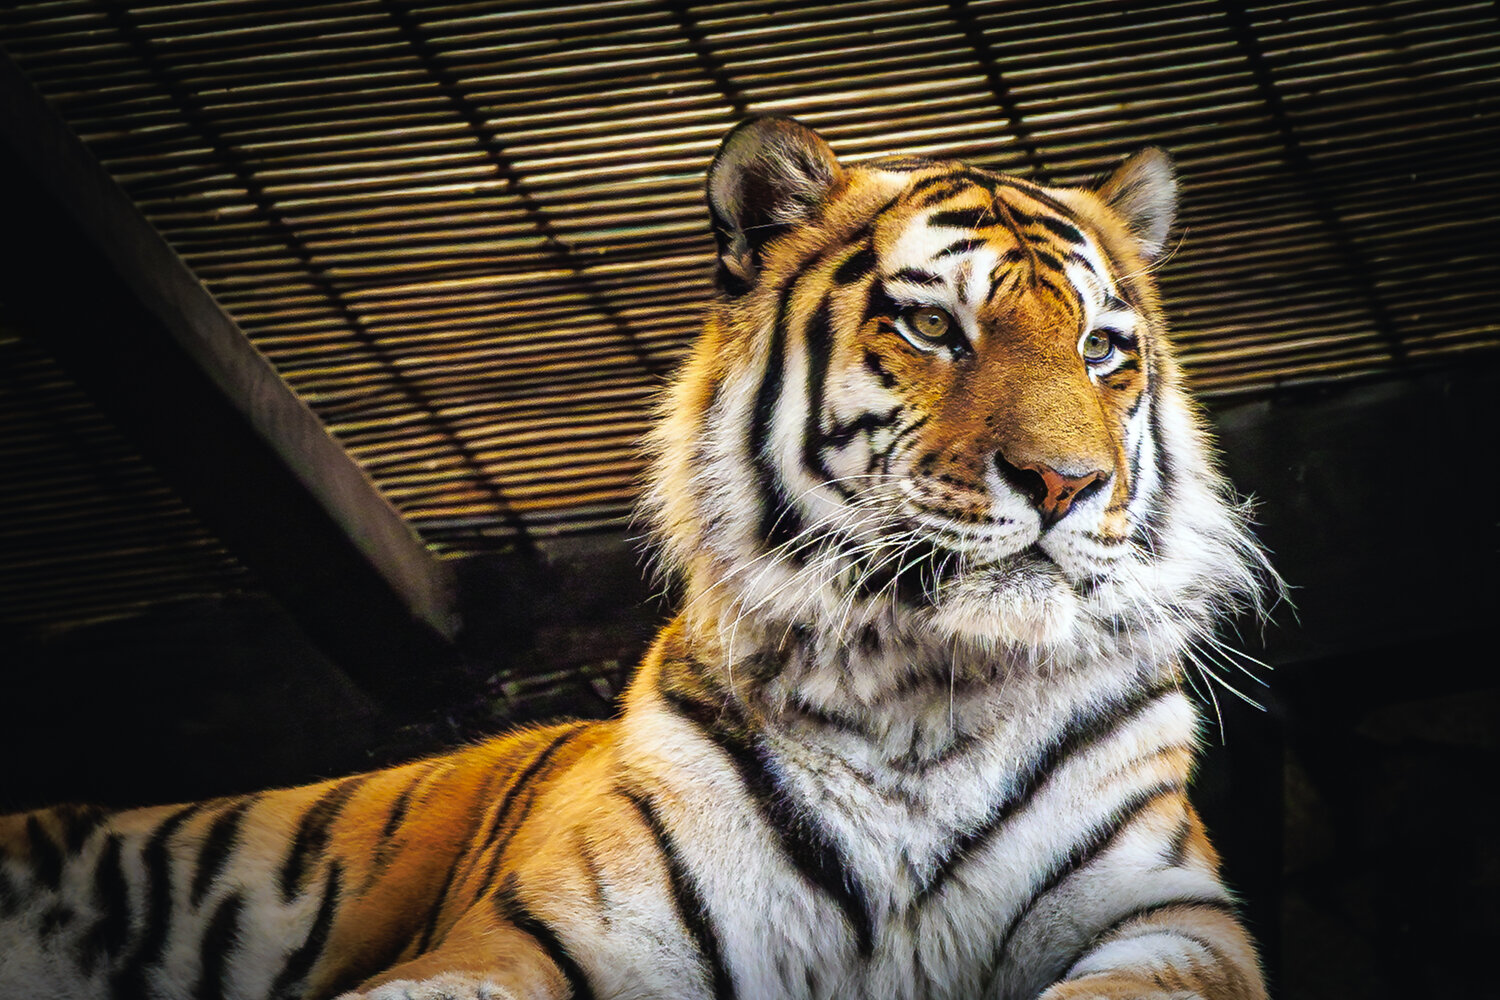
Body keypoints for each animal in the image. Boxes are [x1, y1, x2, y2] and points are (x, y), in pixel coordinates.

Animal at [0, 116, 1275, 1000]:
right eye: (930, 327)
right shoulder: (557, 934)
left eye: (1102, 348)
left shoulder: (1172, 919)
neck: (925, 704)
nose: (1067, 483)